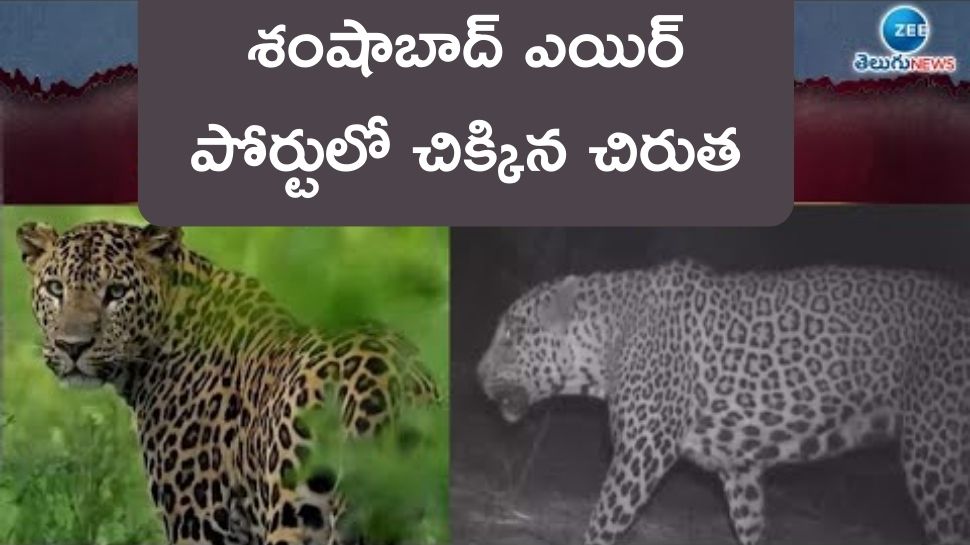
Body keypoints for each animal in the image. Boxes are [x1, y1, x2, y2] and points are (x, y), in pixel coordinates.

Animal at [16, 221, 441, 545]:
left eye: (116, 292)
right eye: (55, 288)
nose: (72, 346)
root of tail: (383, 377)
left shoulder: (198, 523)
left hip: (295, 513)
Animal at [477, 258, 970, 545]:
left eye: (511, 335)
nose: (477, 375)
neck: (604, 343)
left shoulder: (642, 452)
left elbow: (601, 523)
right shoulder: (739, 468)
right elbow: (749, 526)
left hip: (937, 455)